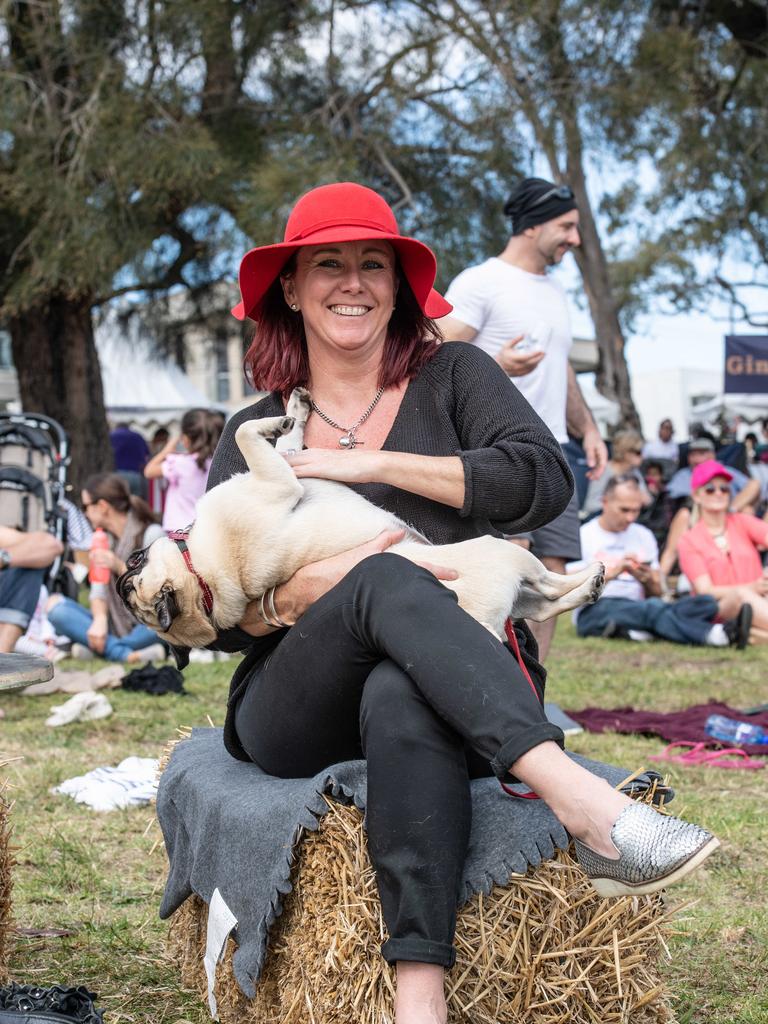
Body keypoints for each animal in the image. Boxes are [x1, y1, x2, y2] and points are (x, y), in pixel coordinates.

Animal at [117, 387, 606, 667]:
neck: (200, 574)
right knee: (549, 591)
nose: (122, 579)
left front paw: (294, 409)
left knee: (545, 605)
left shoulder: (286, 468)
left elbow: (287, 442)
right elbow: (248, 436)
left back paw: (590, 586)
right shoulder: (277, 481)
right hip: (508, 556)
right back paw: (593, 579)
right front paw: (278, 419)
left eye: (134, 560)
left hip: (518, 595)